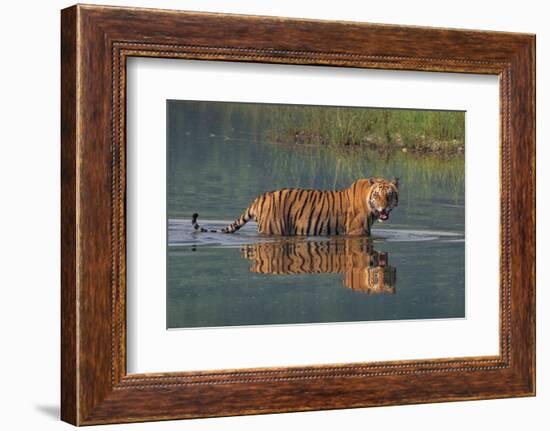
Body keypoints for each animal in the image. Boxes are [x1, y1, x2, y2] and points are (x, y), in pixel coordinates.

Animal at [192, 177, 398, 238]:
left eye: (389, 196)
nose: (383, 209)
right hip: (274, 229)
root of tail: (260, 197)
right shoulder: (357, 232)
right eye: (377, 196)